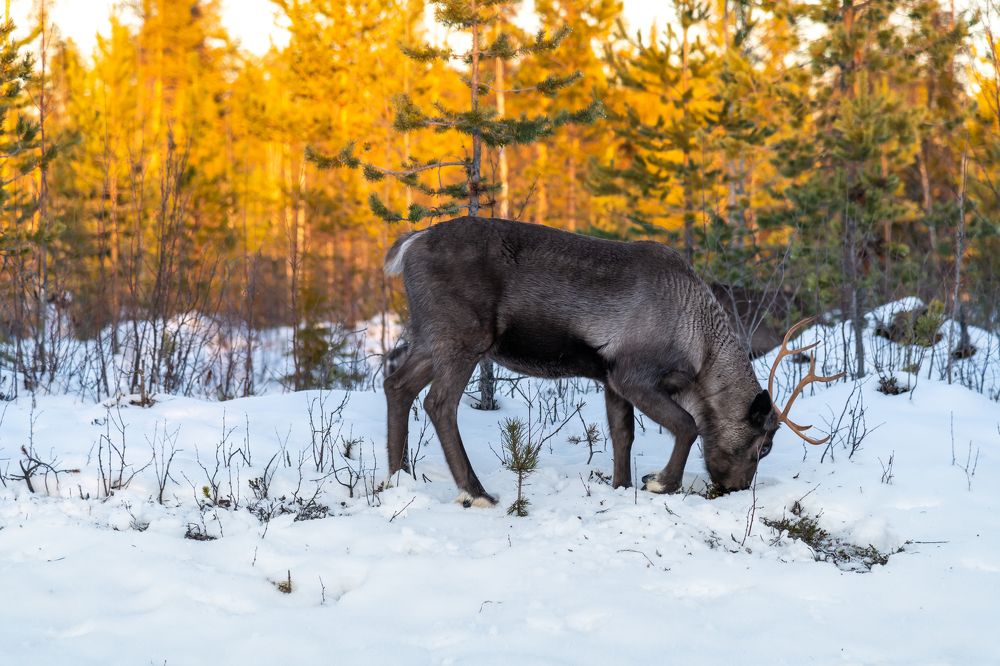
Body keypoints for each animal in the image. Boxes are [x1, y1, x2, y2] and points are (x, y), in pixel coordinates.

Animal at [382, 217, 842, 507]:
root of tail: (409, 244)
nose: (736, 489)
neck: (699, 350)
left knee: (396, 383)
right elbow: (687, 424)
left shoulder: (609, 378)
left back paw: (398, 475)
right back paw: (475, 492)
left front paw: (623, 487)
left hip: (430, 337)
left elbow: (623, 436)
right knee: (439, 402)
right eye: (763, 445)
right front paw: (659, 482)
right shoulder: (633, 374)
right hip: (464, 336)